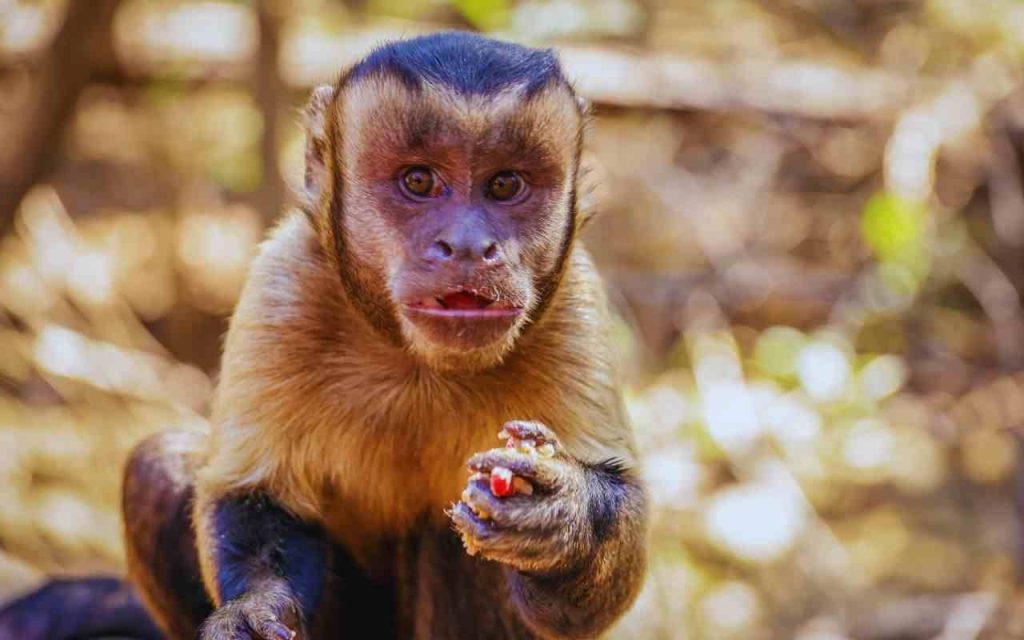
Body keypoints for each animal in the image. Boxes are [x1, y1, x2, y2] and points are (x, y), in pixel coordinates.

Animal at [0, 31, 648, 640]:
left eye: (505, 185)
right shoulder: (283, 286)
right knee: (157, 468)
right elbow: (255, 498)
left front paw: (563, 520)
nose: (466, 245)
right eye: (419, 181)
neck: (415, 361)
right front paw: (254, 610)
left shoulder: (572, 307)